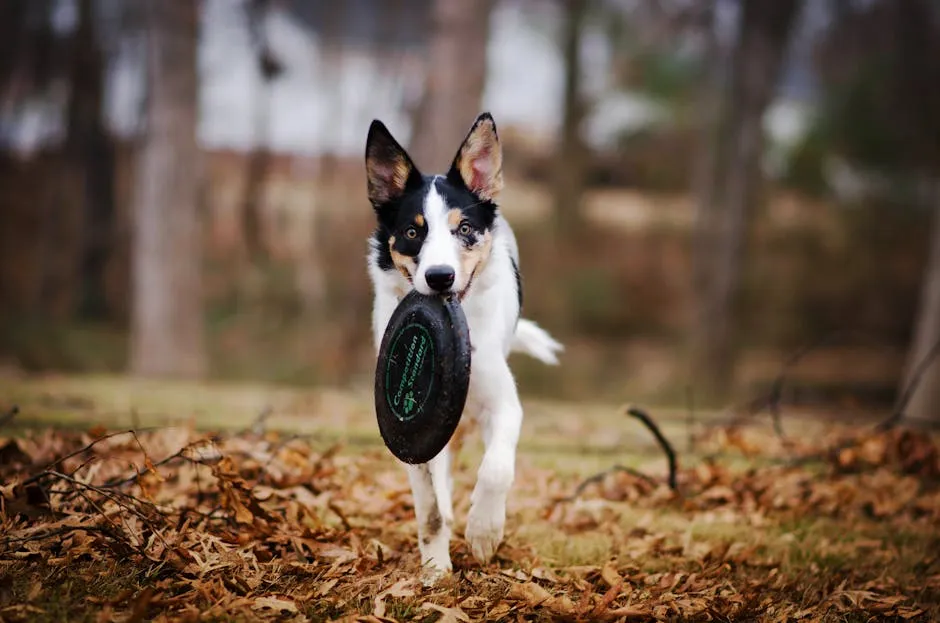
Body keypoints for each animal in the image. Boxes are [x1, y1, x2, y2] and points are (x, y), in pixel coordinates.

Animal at [364, 111, 560, 580]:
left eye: (465, 229)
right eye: (412, 231)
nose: (439, 277)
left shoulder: (503, 404)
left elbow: (496, 470)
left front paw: (484, 531)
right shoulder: (412, 441)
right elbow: (430, 508)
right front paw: (436, 569)